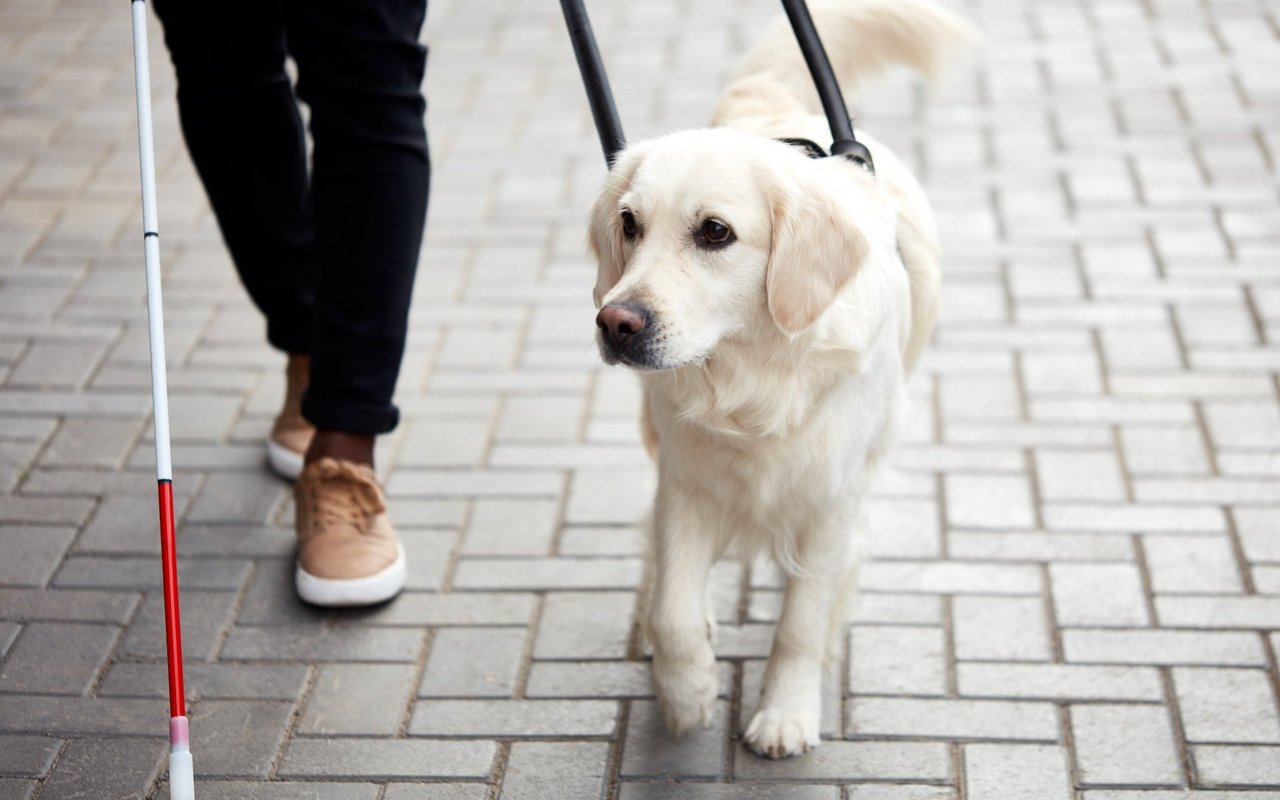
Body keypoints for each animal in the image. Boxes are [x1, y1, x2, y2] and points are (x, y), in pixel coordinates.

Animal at [588, 0, 977, 752]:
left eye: (715, 232)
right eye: (629, 224)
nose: (616, 322)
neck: (754, 380)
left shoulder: (832, 501)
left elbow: (801, 620)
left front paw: (787, 712)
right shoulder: (685, 481)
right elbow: (674, 607)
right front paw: (687, 693)